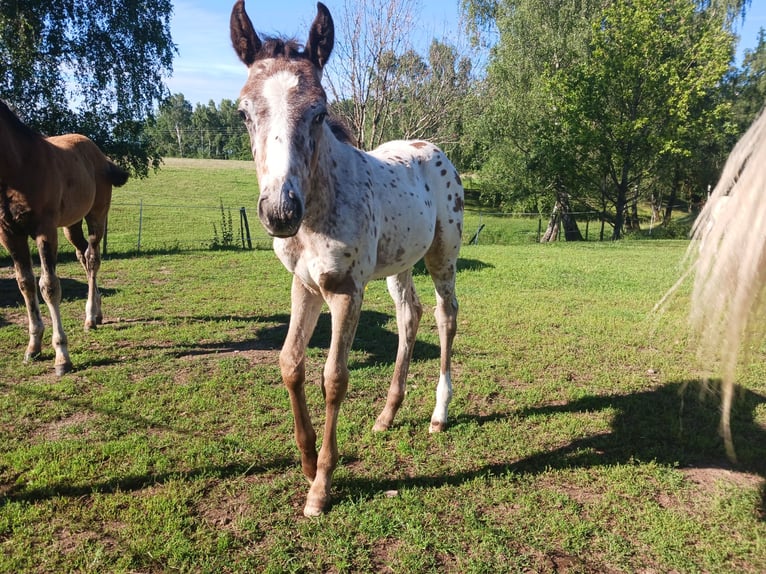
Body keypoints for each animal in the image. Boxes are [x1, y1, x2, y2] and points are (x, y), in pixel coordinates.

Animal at [0, 100, 129, 378]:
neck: (17, 166)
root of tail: (102, 156)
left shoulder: (45, 230)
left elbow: (49, 286)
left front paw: (62, 357)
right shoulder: (9, 234)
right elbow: (25, 284)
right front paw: (33, 346)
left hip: (96, 216)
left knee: (93, 259)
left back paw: (90, 316)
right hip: (72, 225)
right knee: (83, 257)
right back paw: (96, 313)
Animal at [231, 0, 464, 516]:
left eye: (318, 112)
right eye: (243, 113)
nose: (280, 211)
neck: (319, 207)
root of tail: (431, 148)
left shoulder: (346, 290)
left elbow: (334, 377)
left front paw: (321, 487)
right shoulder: (305, 285)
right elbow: (290, 363)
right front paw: (305, 461)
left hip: (443, 255)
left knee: (446, 315)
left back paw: (439, 414)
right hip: (399, 264)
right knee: (410, 314)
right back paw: (387, 415)